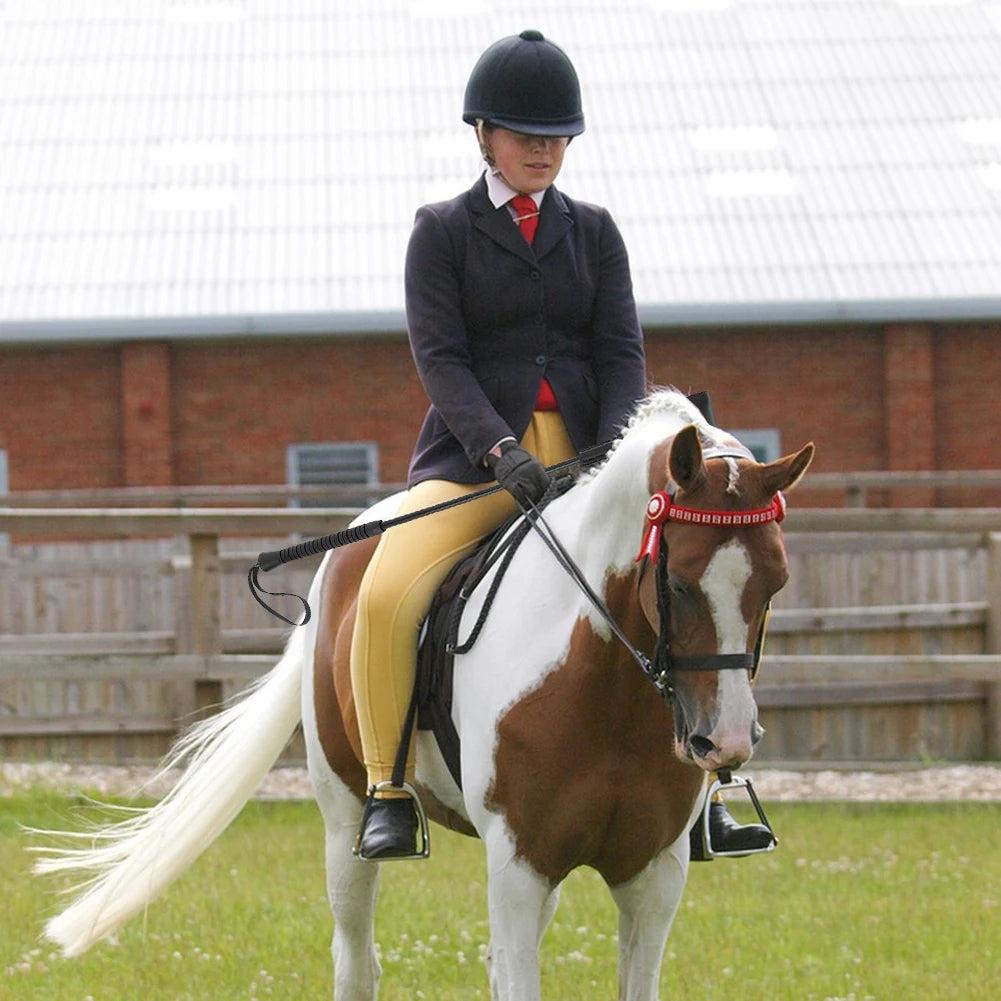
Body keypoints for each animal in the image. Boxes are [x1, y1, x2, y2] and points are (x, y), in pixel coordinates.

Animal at [34, 389, 813, 1001]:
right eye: (676, 583)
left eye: (776, 583)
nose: (724, 741)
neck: (606, 689)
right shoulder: (517, 863)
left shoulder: (653, 873)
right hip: (343, 821)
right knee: (357, 962)